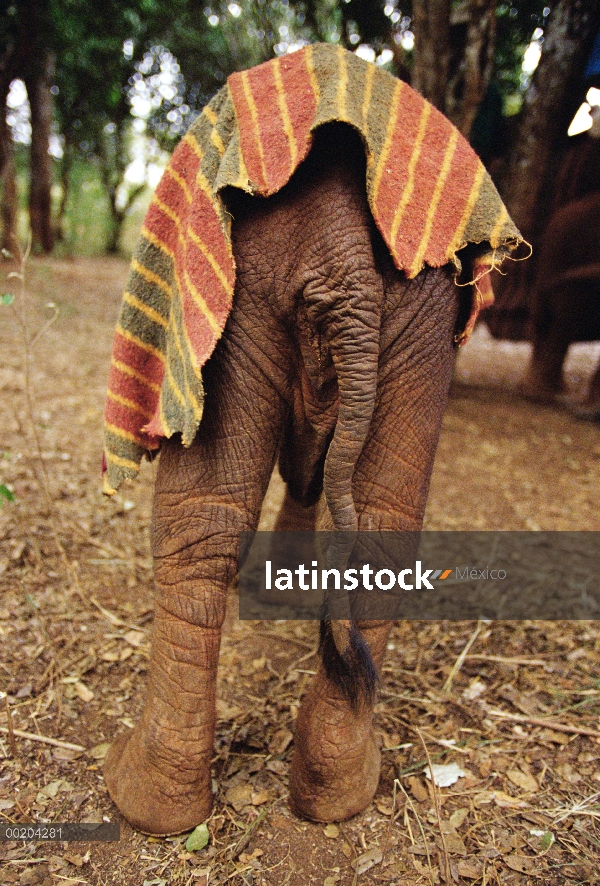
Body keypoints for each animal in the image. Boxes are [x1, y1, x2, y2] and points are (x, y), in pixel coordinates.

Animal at [101, 43, 516, 832]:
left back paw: (140, 800)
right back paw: (334, 791)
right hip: (420, 301)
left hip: (237, 283)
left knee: (202, 519)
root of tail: (341, 250)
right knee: (383, 519)